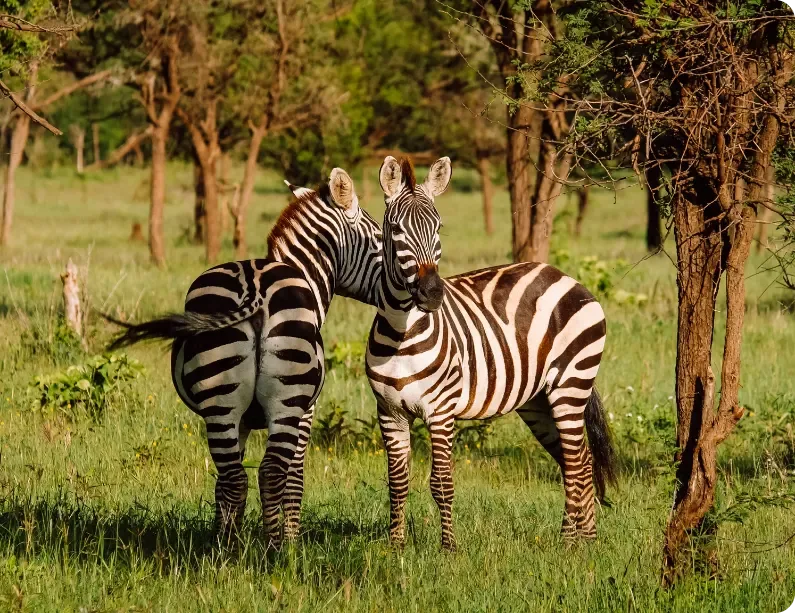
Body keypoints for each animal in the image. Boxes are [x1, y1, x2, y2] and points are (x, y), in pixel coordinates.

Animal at [108, 168, 382, 547]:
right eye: (381, 239)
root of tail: (254, 287)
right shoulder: (307, 411)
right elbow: (295, 480)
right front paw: (292, 539)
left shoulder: (242, 420)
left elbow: (223, 484)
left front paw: (223, 529)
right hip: (286, 401)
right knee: (270, 474)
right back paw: (275, 550)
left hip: (220, 400)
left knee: (234, 477)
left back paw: (226, 549)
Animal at [365, 156, 617, 550]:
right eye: (395, 230)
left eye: (438, 227)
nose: (432, 293)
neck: (400, 333)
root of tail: (565, 276)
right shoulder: (389, 412)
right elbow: (397, 483)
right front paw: (396, 548)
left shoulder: (441, 410)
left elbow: (441, 483)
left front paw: (448, 549)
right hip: (539, 400)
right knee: (581, 458)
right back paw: (586, 540)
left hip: (571, 384)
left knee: (576, 463)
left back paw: (566, 543)